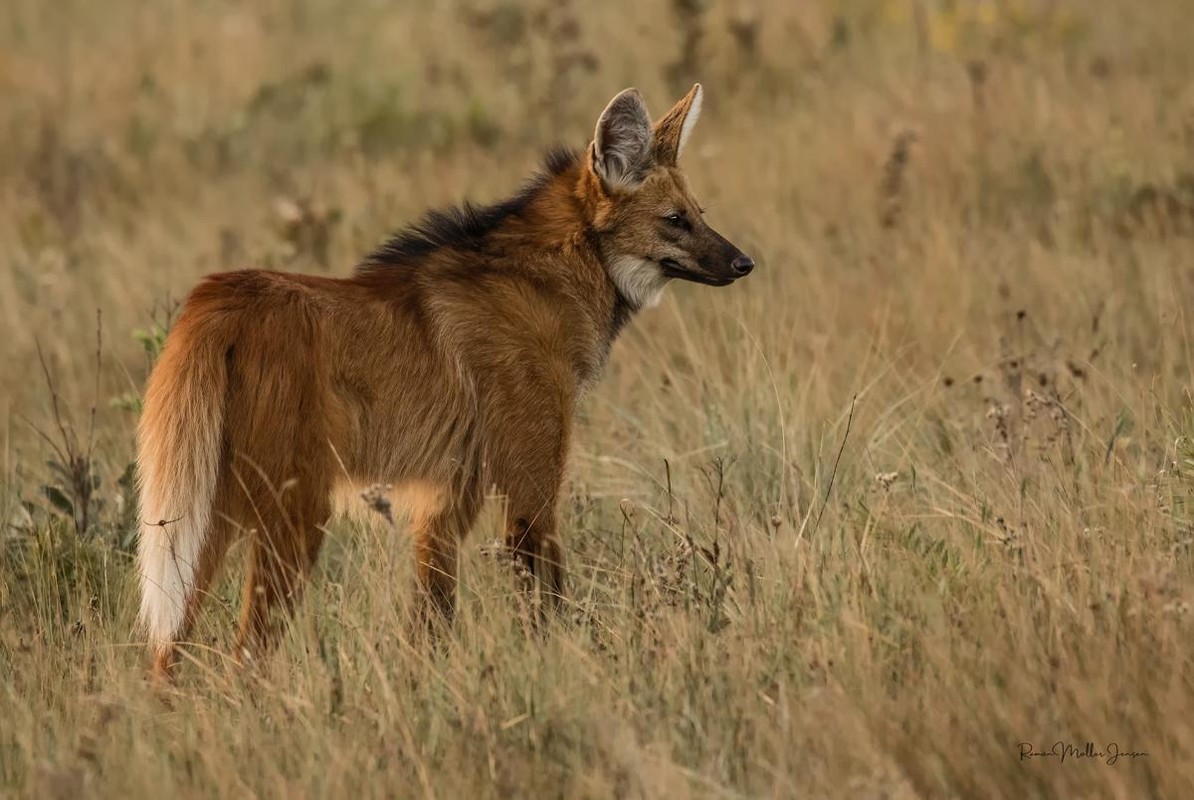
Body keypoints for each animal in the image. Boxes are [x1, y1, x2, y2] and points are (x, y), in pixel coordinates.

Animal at [139, 84, 749, 678]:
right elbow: (547, 601)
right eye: (675, 220)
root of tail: (217, 297)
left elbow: (430, 625)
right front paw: (564, 670)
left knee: (168, 654)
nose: (744, 263)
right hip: (295, 516)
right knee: (246, 658)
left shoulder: (445, 501)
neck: (545, 282)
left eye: (699, 212)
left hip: (201, 523)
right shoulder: (529, 487)